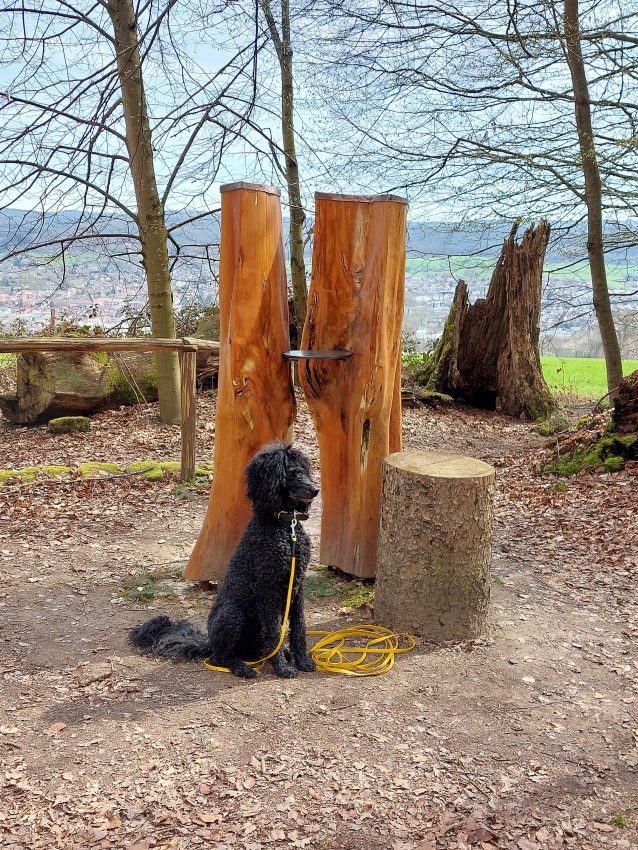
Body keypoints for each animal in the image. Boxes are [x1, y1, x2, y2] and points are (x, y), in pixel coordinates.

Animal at [129, 444, 320, 676]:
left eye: (303, 470)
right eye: (290, 473)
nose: (315, 489)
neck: (284, 527)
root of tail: (209, 643)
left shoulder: (297, 587)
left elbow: (299, 627)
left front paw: (303, 660)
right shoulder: (268, 590)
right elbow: (275, 633)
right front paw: (282, 669)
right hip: (232, 614)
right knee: (221, 657)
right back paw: (241, 667)